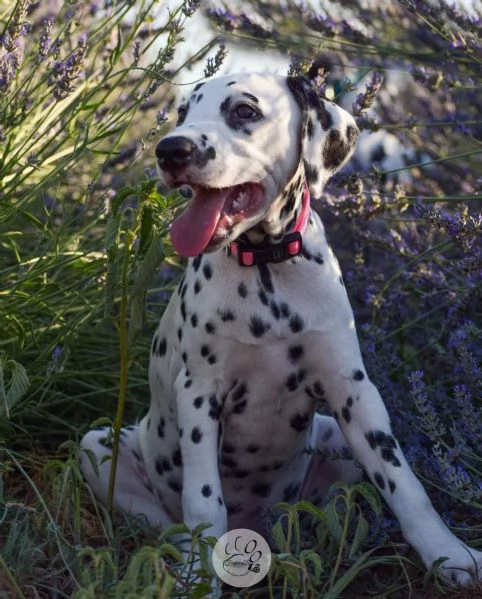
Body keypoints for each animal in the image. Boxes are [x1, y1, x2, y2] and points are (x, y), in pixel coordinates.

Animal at [80, 70, 482, 584]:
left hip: (335, 439)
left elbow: (406, 485)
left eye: (244, 110)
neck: (265, 266)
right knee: (164, 521)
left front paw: (450, 554)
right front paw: (200, 580)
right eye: (183, 113)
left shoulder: (355, 391)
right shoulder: (199, 393)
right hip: (100, 448)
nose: (170, 150)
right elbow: (203, 500)